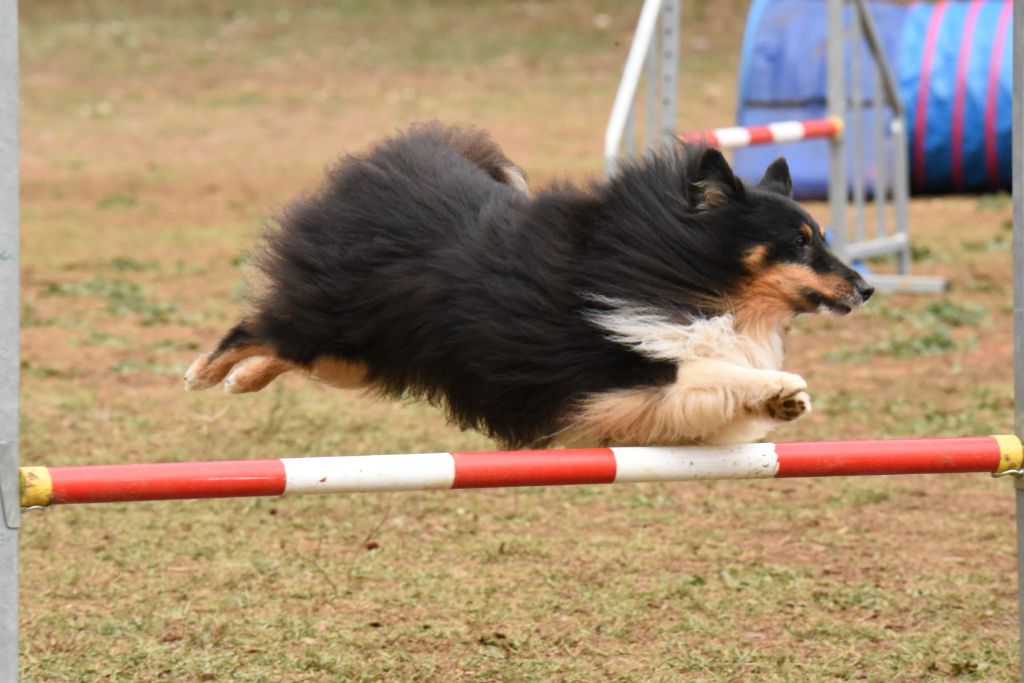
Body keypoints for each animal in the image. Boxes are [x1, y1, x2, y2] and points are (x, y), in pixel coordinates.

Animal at [184, 124, 872, 448]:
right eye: (800, 241)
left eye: (822, 234)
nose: (866, 289)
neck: (677, 266)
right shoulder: (615, 370)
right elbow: (709, 370)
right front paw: (781, 388)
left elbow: (716, 388)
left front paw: (777, 401)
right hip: (343, 322)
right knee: (259, 327)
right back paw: (204, 372)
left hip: (361, 357)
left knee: (283, 351)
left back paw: (243, 380)